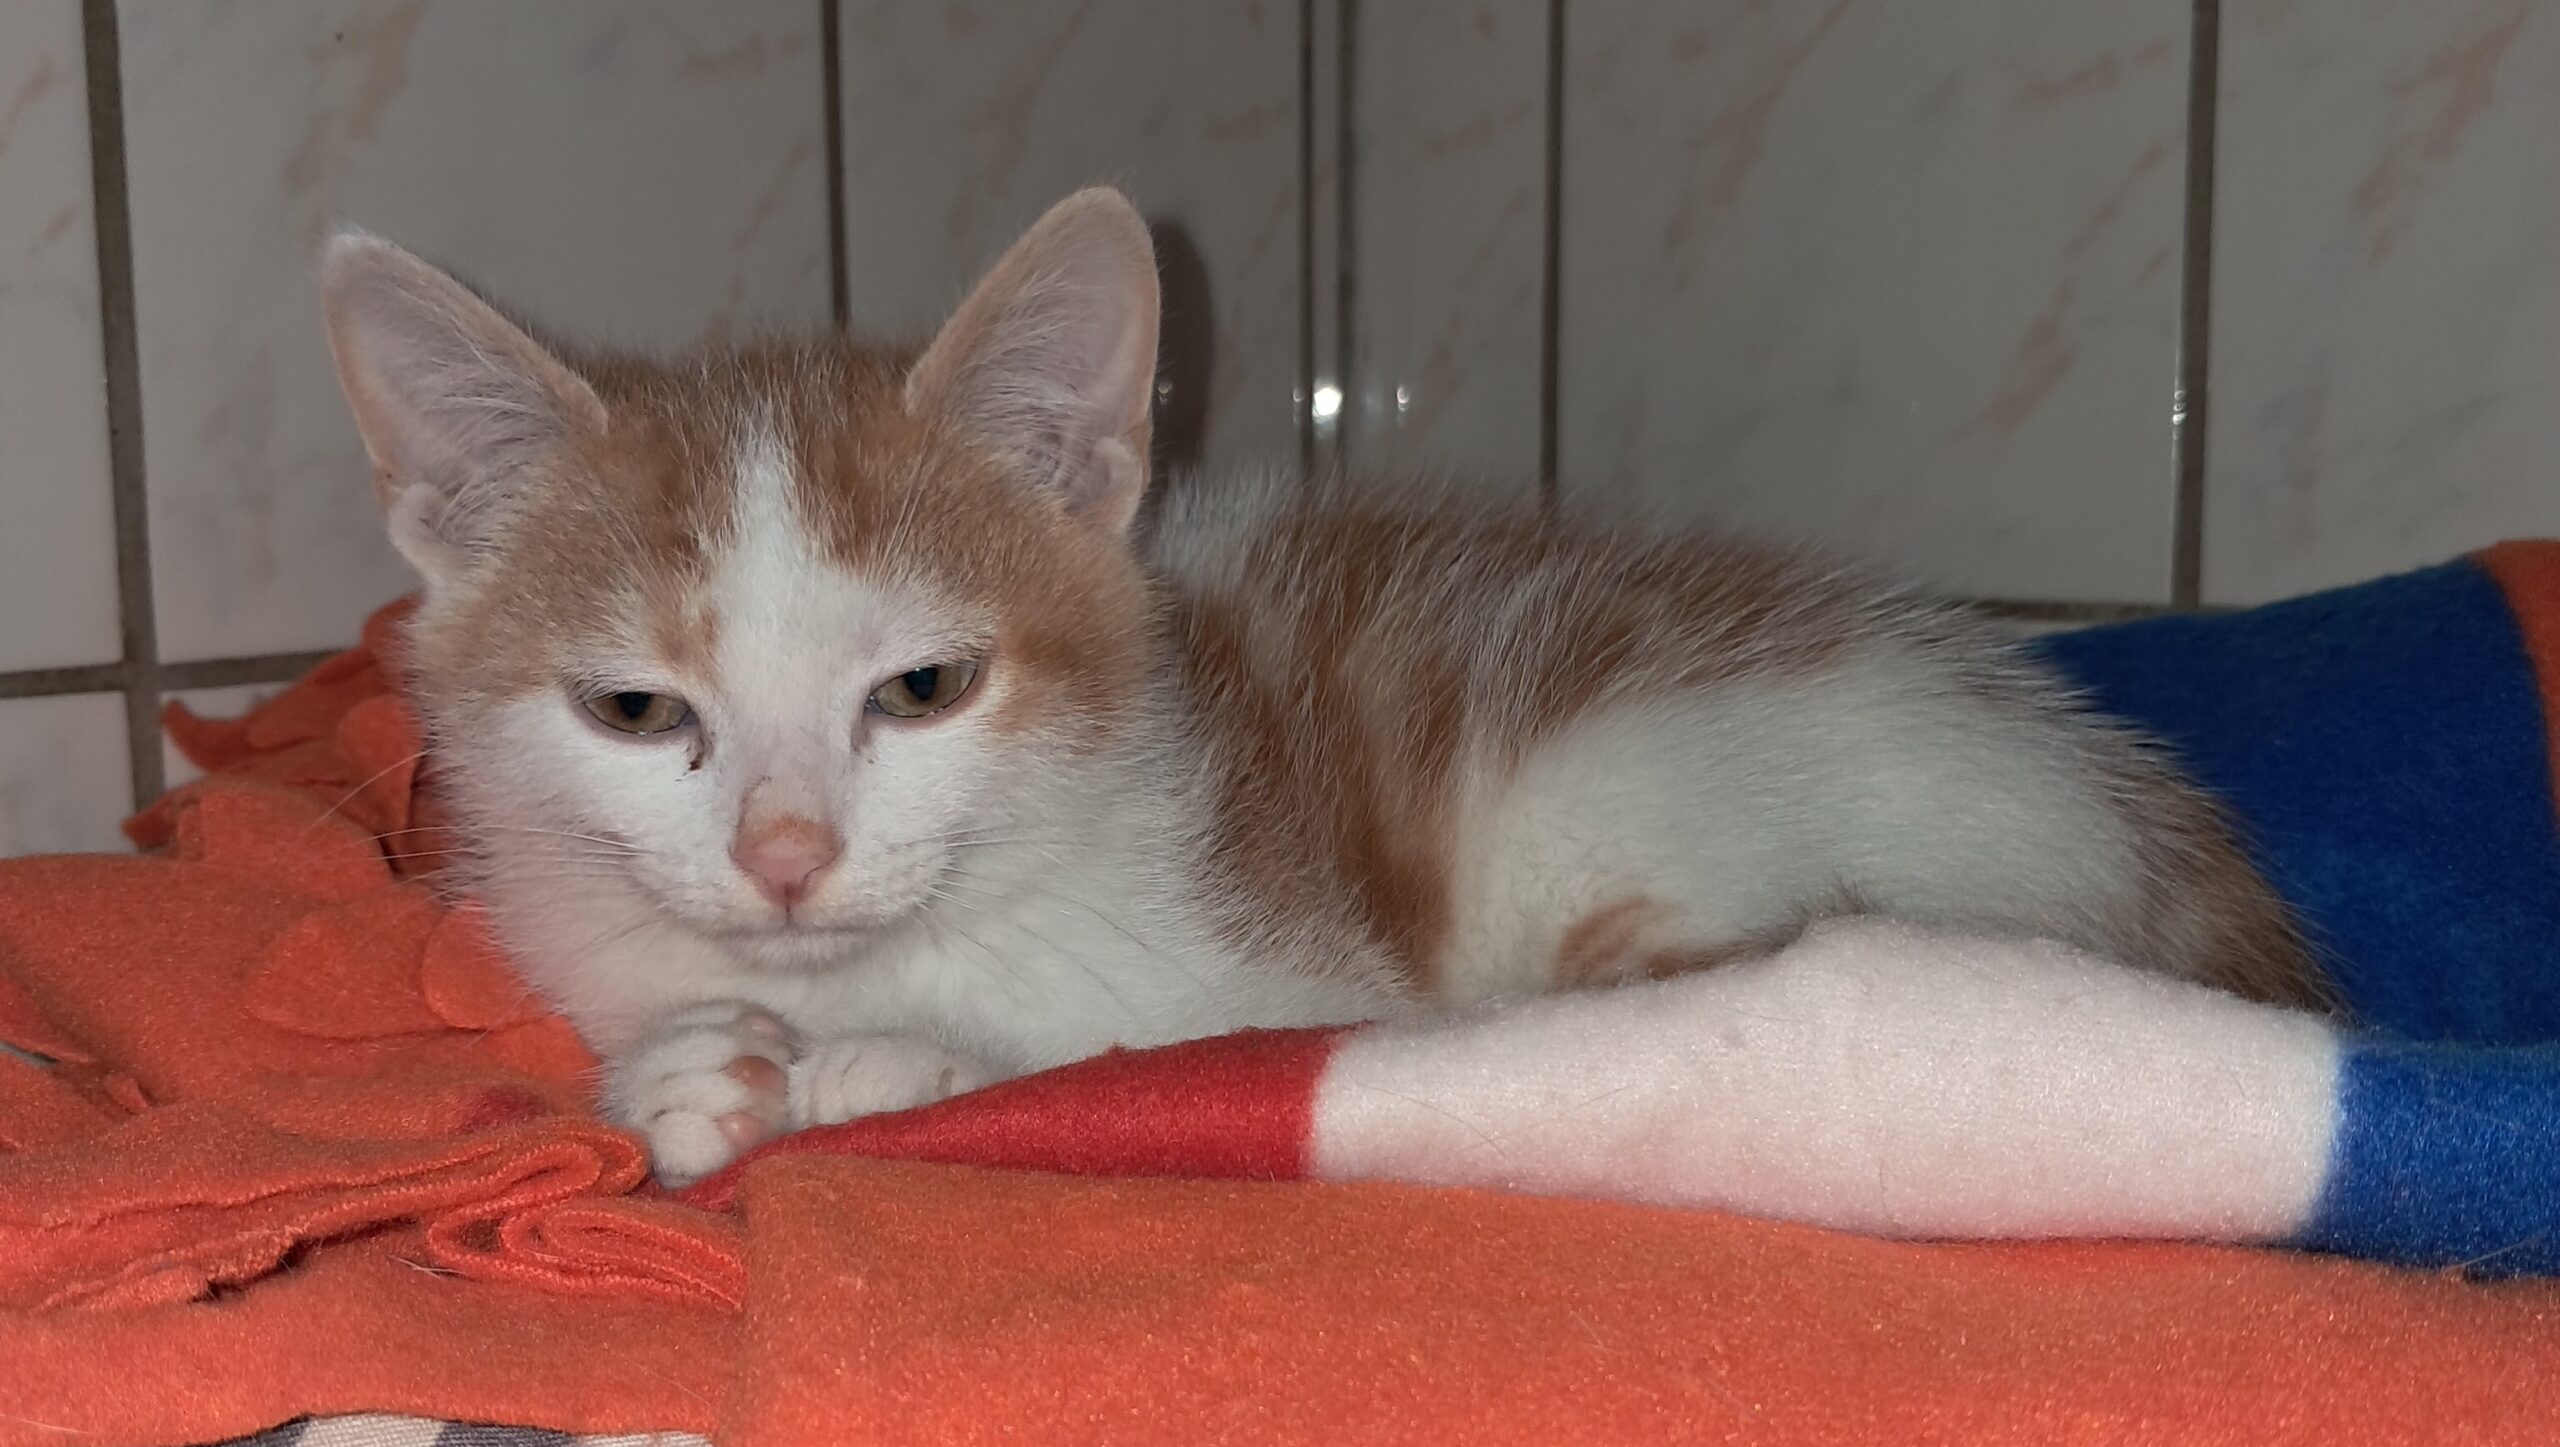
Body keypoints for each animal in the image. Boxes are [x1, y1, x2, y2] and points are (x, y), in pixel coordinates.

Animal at [318, 186, 2326, 1186]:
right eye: (635, 712)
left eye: (926, 684)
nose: (788, 854)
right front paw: (677, 1069)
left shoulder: (1276, 970)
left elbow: (1158, 1046)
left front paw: (899, 1061)